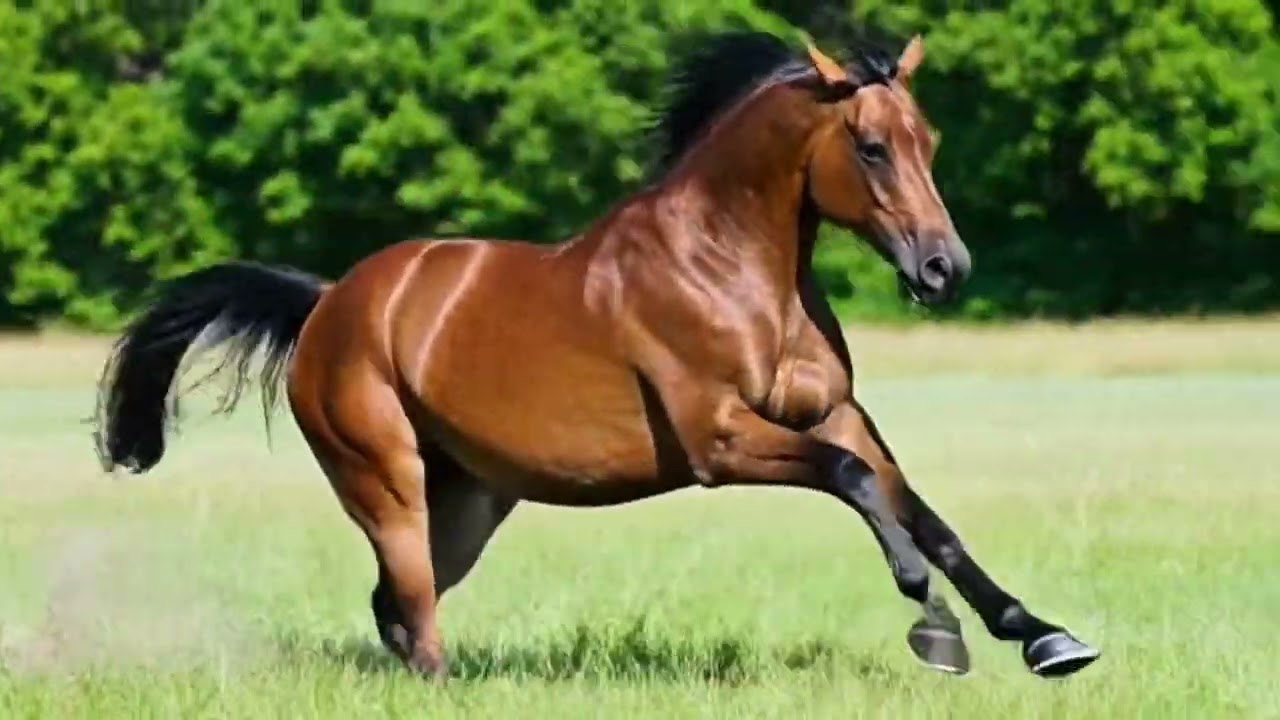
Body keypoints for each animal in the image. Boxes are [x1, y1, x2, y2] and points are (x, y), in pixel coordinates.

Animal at [92, 31, 1099, 681]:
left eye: (929, 140)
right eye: (871, 146)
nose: (944, 268)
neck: (733, 266)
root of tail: (328, 303)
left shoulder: (833, 411)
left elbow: (921, 509)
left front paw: (1043, 636)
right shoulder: (720, 439)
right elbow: (858, 486)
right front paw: (932, 623)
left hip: (470, 503)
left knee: (396, 608)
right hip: (385, 481)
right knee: (413, 612)